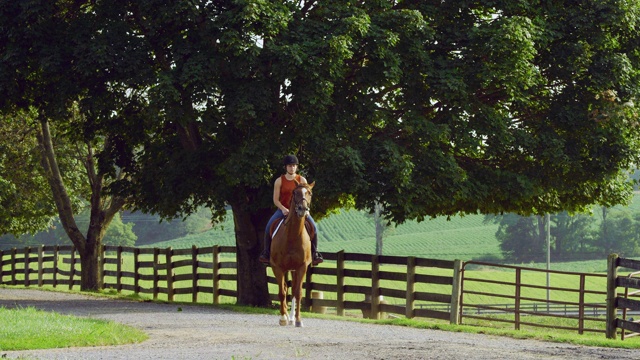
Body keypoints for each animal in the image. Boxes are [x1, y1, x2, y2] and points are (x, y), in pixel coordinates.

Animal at [268, 180, 314, 326]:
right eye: (295, 192)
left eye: (309, 193)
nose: (302, 209)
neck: (293, 236)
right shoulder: (277, 267)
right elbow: (282, 293)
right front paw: (283, 318)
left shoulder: (301, 267)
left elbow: (297, 293)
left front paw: (298, 320)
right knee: (284, 289)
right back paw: (287, 317)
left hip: (293, 270)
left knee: (293, 290)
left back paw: (292, 318)